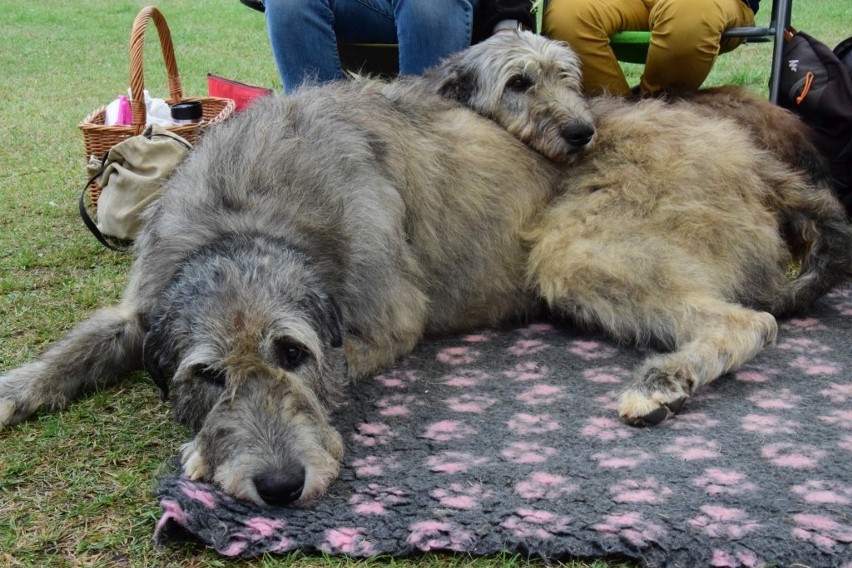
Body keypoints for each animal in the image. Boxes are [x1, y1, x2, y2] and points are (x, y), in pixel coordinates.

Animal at [1, 32, 852, 506]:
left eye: (293, 354)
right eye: (206, 375)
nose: (279, 487)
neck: (249, 213)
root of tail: (761, 161)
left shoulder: (387, 318)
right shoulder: (143, 301)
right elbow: (75, 349)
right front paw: (15, 389)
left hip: (580, 251)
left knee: (751, 321)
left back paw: (665, 381)